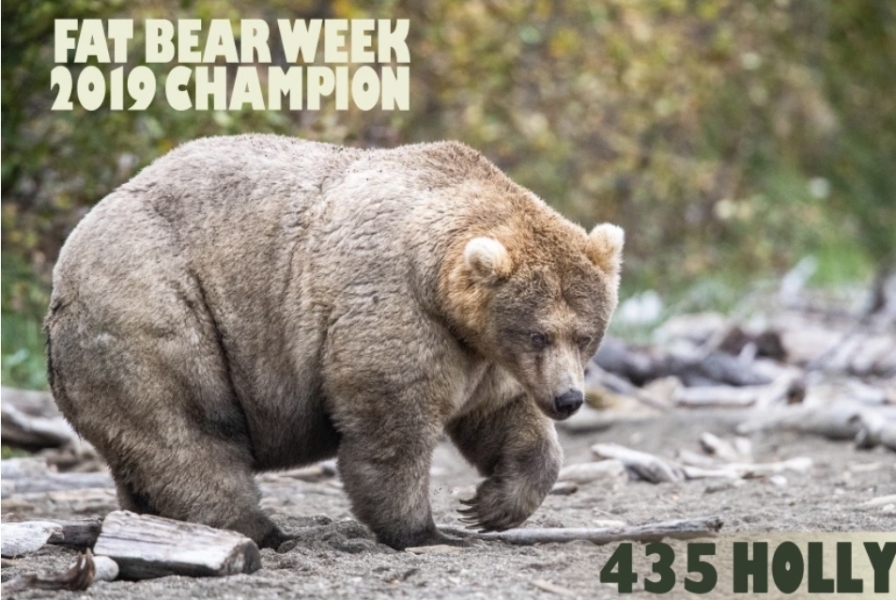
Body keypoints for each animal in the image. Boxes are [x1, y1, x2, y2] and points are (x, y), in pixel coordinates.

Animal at [44, 135, 624, 550]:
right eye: (538, 333)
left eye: (585, 335)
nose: (568, 399)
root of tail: (66, 261)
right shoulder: (395, 307)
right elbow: (391, 425)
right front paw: (425, 531)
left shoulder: (483, 354)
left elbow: (503, 417)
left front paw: (491, 505)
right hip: (155, 309)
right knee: (188, 429)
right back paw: (261, 530)